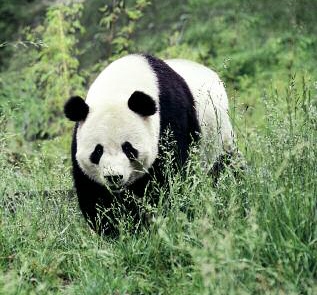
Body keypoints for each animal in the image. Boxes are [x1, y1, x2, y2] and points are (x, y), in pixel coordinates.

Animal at [63, 53, 233, 236]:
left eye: (128, 148)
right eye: (97, 151)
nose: (114, 177)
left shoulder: (170, 119)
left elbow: (166, 177)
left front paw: (149, 222)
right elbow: (94, 193)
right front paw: (115, 229)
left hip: (219, 136)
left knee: (225, 167)